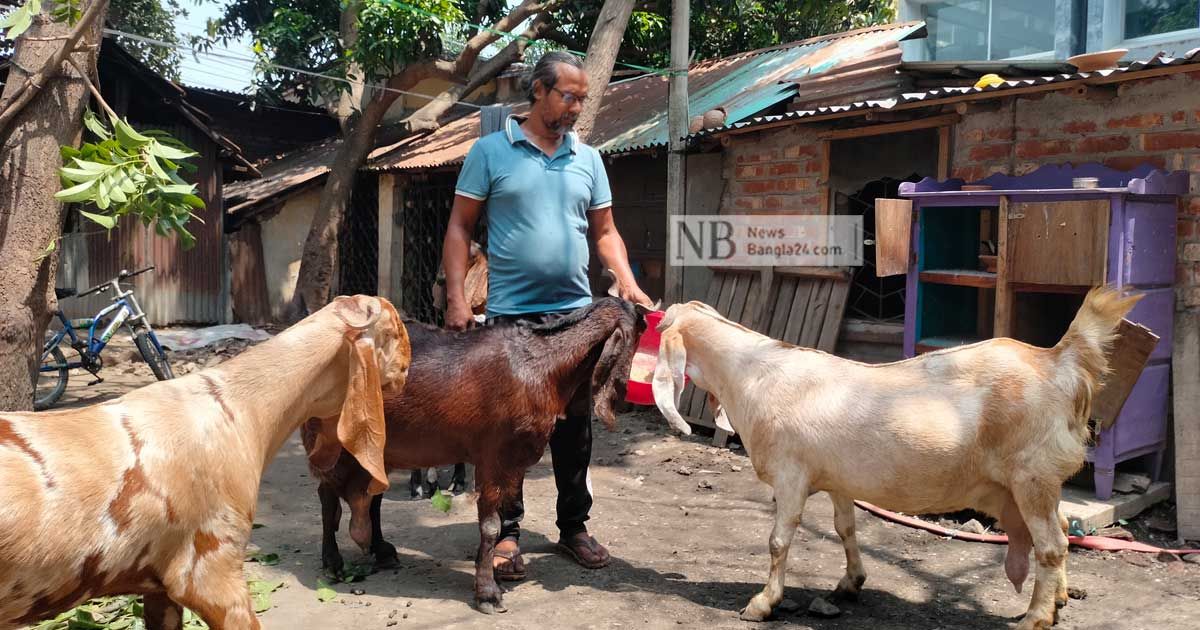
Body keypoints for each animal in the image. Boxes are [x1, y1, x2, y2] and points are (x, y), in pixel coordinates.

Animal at [300, 297, 648, 612]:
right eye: (642, 327)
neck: (540, 365)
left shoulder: (514, 460)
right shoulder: (493, 456)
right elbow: (491, 525)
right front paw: (487, 593)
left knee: (372, 494)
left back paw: (382, 550)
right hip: (329, 440)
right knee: (327, 497)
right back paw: (333, 562)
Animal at [657, 286, 1142, 624]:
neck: (754, 374)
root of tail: (1058, 363)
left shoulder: (791, 474)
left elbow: (779, 541)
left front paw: (761, 604)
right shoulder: (837, 478)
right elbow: (845, 528)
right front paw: (850, 583)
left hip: (1032, 477)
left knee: (1052, 544)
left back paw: (1036, 619)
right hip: (1038, 482)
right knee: (1061, 530)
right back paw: (1057, 600)